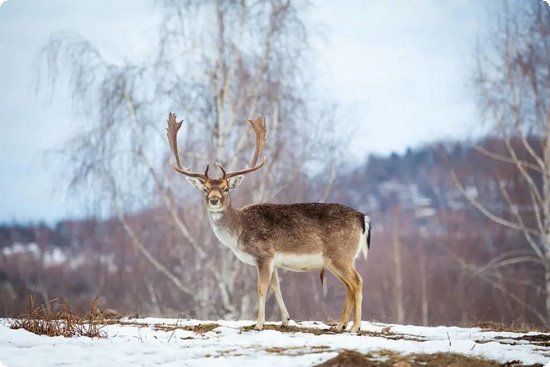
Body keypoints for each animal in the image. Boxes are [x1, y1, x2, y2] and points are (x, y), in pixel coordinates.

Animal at [167, 113, 376, 334]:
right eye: (205, 189)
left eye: (226, 188)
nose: (213, 200)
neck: (238, 233)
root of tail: (362, 217)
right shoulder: (273, 260)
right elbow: (276, 287)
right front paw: (285, 320)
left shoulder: (264, 254)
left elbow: (261, 289)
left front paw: (259, 324)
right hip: (339, 258)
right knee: (348, 286)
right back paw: (339, 325)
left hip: (339, 254)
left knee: (357, 282)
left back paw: (355, 327)